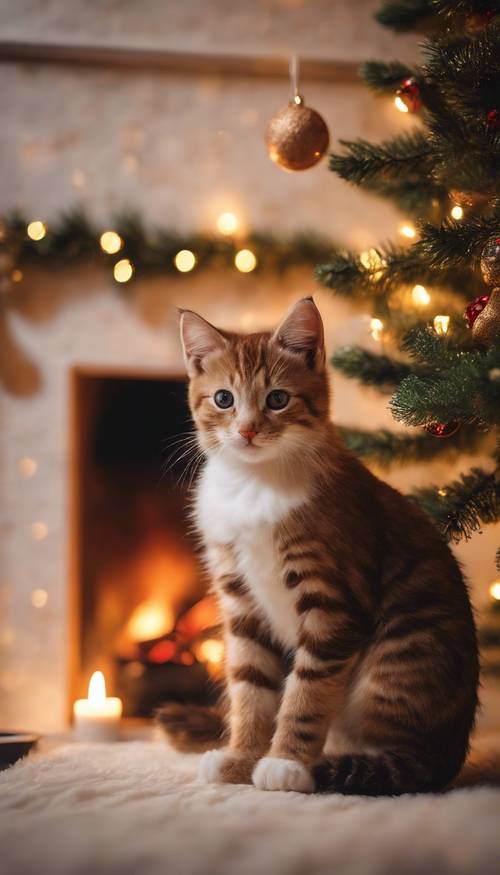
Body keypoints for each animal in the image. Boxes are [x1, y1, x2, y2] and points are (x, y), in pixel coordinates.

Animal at [163, 298, 476, 796]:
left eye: (277, 399)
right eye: (223, 399)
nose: (247, 431)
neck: (256, 482)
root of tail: (454, 748)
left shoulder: (333, 599)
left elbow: (307, 689)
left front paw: (285, 763)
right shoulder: (240, 598)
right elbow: (250, 684)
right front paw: (242, 758)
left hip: (403, 648)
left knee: (409, 757)